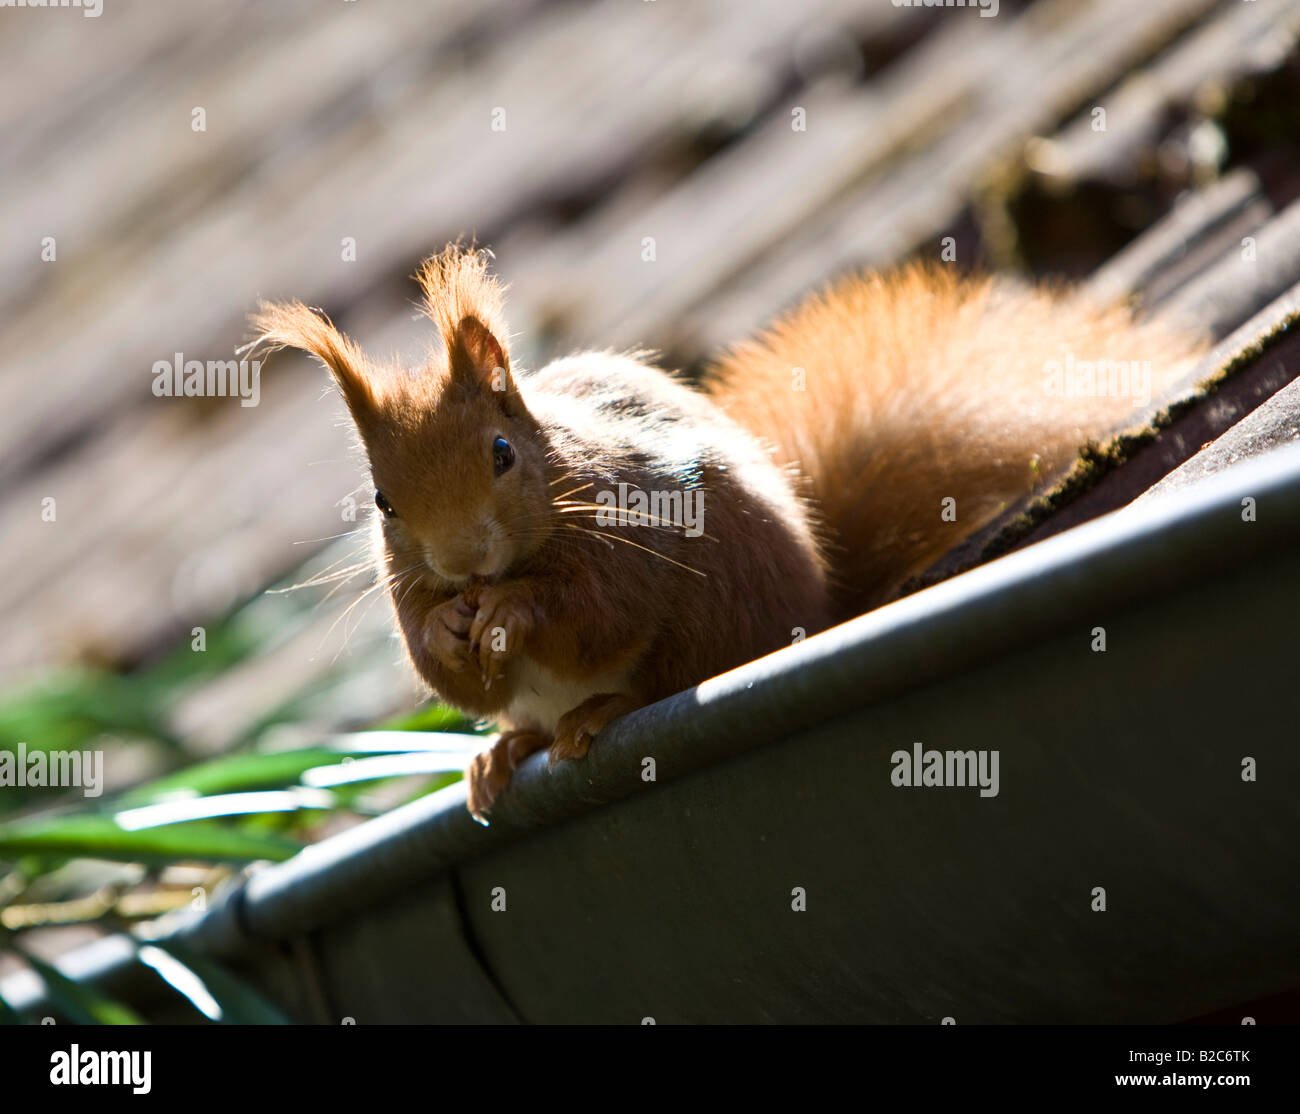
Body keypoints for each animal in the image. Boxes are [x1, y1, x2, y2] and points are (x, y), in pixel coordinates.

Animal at [250, 246, 1204, 821]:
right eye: (382, 502)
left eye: (501, 452)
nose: (463, 561)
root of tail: (819, 605)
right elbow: (439, 666)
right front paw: (454, 629)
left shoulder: (638, 513)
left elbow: (595, 610)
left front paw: (510, 613)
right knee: (522, 719)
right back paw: (501, 752)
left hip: (721, 600)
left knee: (671, 675)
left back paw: (595, 713)